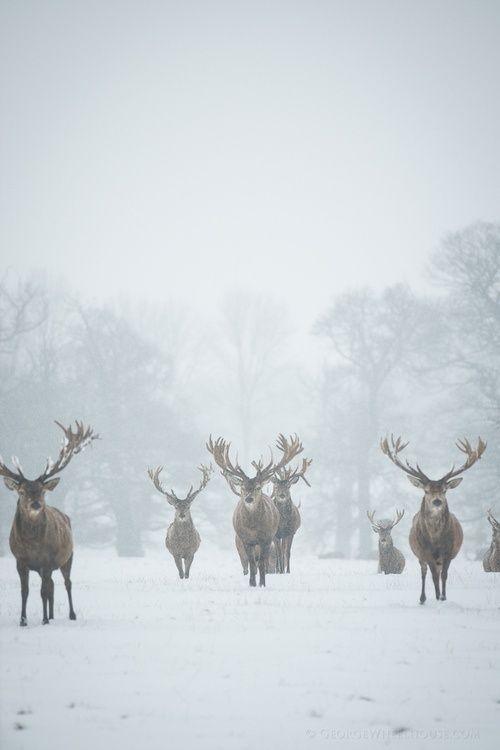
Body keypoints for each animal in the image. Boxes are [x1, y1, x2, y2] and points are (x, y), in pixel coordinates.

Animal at [1, 420, 98, 626]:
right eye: (21, 491)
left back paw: (69, 615)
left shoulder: (47, 560)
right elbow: (25, 591)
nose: (36, 503)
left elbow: (43, 592)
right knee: (52, 586)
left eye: (42, 490)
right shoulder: (20, 560)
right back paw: (52, 616)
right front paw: (23, 621)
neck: (32, 544)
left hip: (68, 557)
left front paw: (44, 620)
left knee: (66, 584)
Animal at [207, 434, 303, 587]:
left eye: (258, 487)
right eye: (242, 487)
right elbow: (251, 562)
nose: (248, 499)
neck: (253, 527)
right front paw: (252, 583)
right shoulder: (245, 539)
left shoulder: (267, 538)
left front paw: (262, 583)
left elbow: (262, 561)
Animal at [381, 434, 486, 604]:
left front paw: (443, 597)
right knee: (424, 573)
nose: (437, 501)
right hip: (421, 556)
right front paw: (437, 598)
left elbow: (444, 576)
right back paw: (422, 598)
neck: (436, 539)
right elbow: (434, 576)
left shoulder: (448, 552)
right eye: (426, 490)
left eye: (444, 490)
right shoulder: (426, 552)